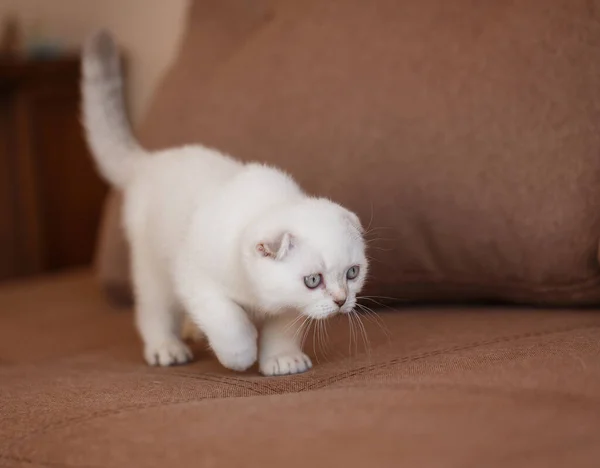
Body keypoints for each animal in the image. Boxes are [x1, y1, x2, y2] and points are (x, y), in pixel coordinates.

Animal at [82, 31, 368, 376]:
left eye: (352, 273)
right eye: (313, 280)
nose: (341, 300)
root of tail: (150, 161)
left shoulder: (289, 306)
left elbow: (282, 330)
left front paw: (283, 359)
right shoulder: (195, 279)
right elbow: (228, 320)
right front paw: (240, 354)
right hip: (153, 268)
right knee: (154, 311)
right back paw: (167, 348)